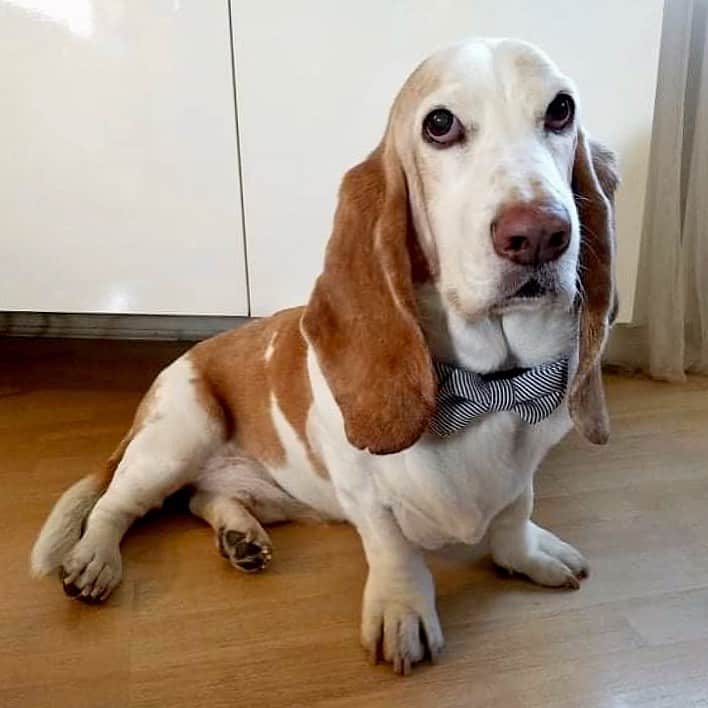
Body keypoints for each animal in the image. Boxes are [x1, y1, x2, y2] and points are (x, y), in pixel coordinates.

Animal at [33, 38, 616, 676]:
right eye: (439, 124)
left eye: (561, 110)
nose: (539, 234)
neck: (488, 388)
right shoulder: (361, 486)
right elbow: (392, 547)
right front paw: (402, 611)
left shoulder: (524, 469)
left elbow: (515, 512)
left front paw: (527, 555)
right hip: (178, 436)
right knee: (116, 505)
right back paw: (94, 559)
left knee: (204, 499)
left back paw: (240, 536)